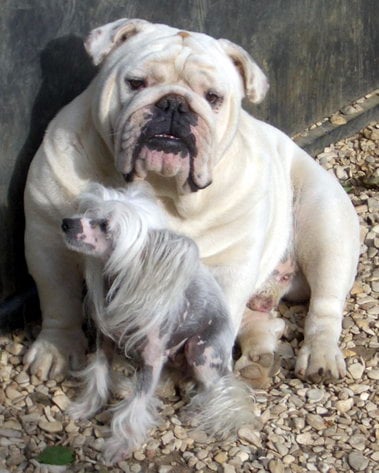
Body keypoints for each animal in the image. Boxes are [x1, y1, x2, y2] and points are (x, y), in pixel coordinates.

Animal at [61, 183, 258, 462]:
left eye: (105, 225)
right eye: (89, 212)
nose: (66, 223)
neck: (124, 283)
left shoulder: (152, 360)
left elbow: (137, 403)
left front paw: (119, 445)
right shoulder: (104, 342)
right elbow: (97, 374)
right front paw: (85, 407)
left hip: (201, 351)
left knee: (218, 387)